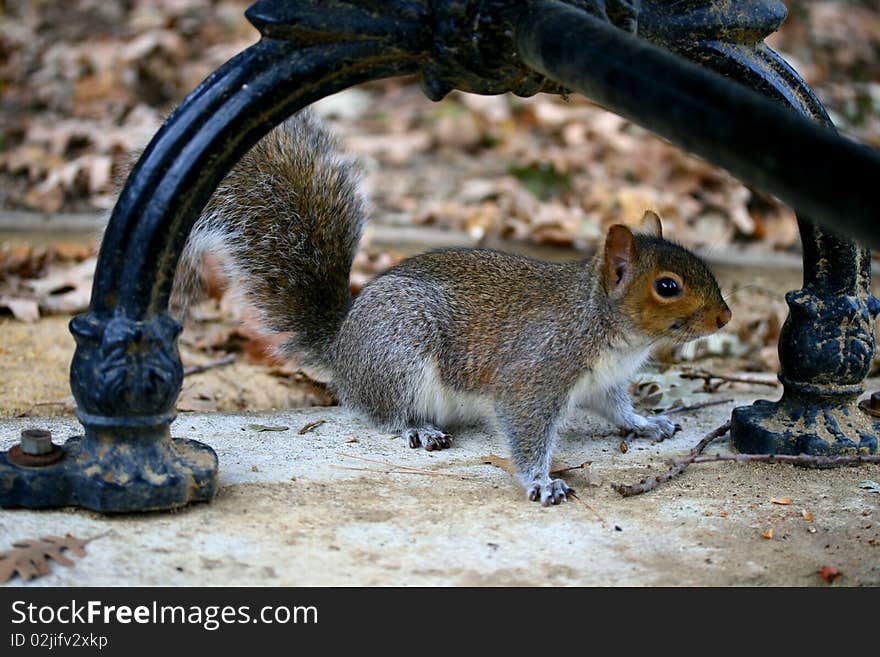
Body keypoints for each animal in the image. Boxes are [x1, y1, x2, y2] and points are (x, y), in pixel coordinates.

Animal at [175, 110, 732, 504]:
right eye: (667, 286)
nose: (724, 317)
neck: (605, 326)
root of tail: (343, 347)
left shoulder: (603, 382)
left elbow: (618, 409)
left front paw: (647, 424)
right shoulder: (535, 374)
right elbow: (525, 430)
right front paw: (541, 482)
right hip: (400, 350)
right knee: (382, 412)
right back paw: (418, 428)